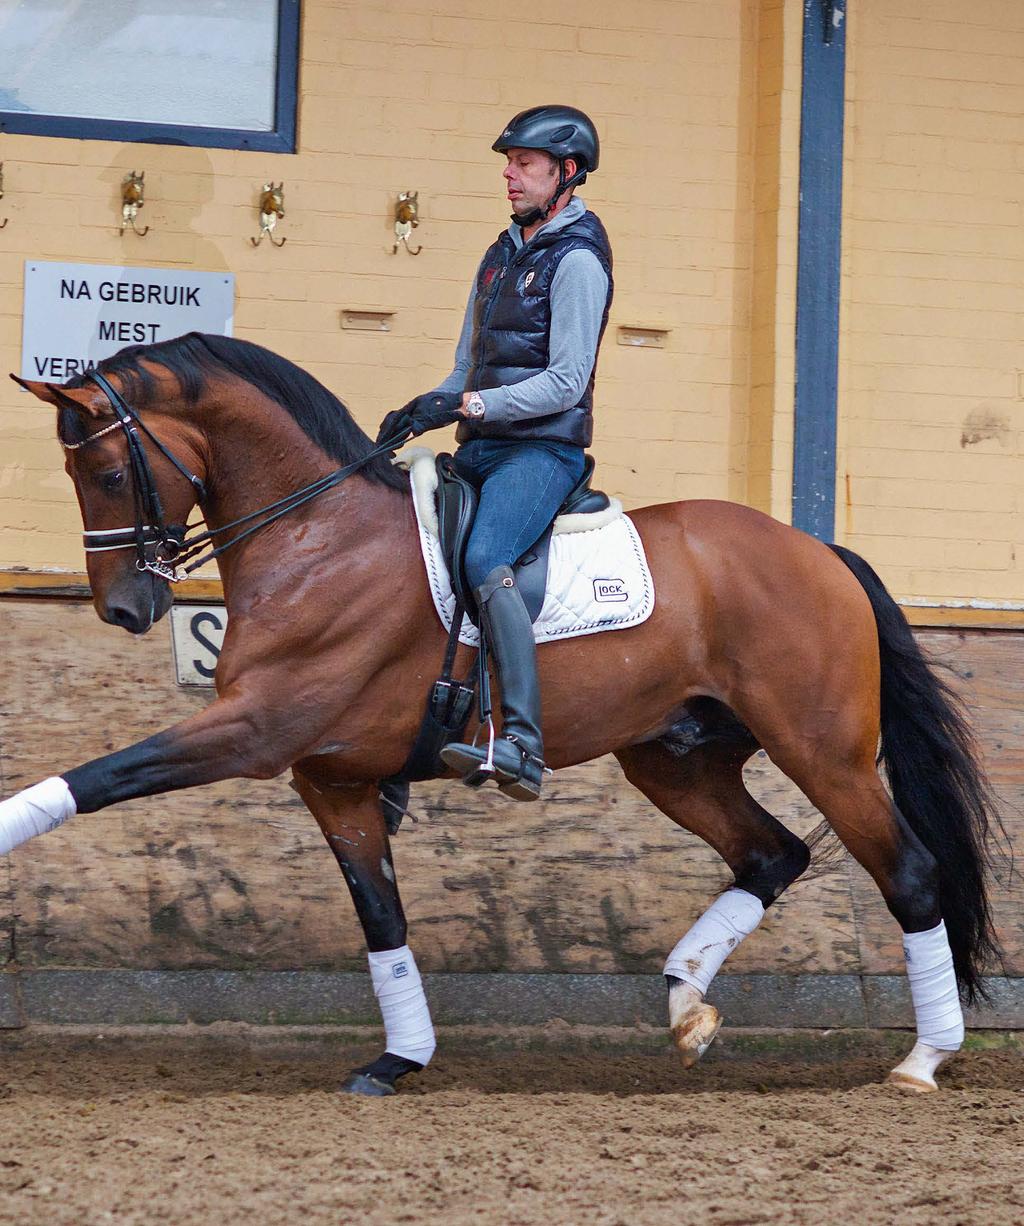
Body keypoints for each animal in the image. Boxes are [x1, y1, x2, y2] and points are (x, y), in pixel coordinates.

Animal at [4, 331, 995, 1098]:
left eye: (104, 469)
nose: (124, 608)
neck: (315, 537)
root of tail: (819, 550)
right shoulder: (333, 778)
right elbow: (382, 919)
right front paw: (400, 1058)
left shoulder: (255, 732)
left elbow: (101, 776)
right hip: (675, 759)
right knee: (772, 854)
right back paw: (686, 1006)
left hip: (822, 751)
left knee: (908, 874)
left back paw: (921, 1059)